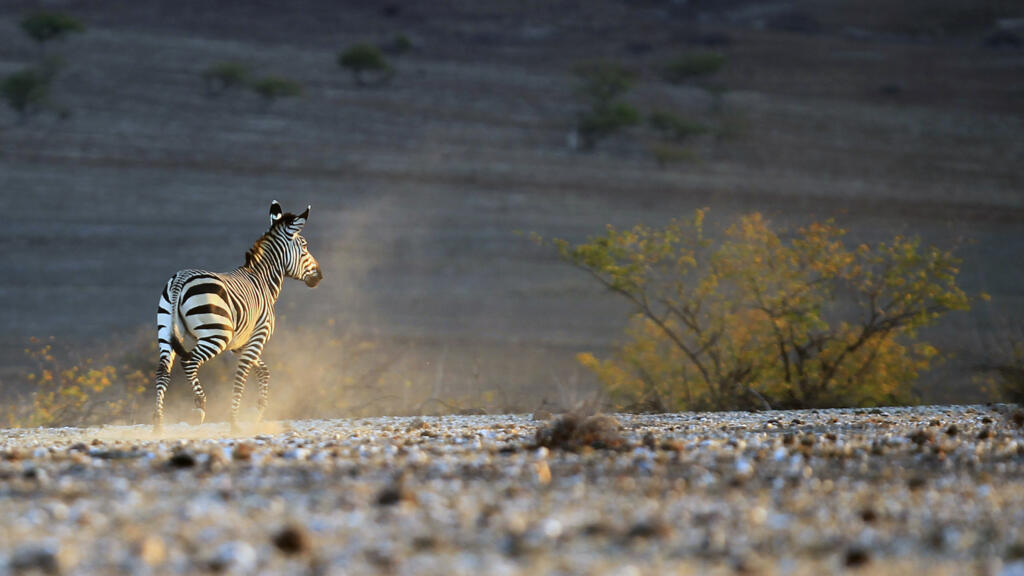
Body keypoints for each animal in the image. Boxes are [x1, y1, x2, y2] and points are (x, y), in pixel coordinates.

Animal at [153, 200, 321, 430]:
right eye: (304, 247)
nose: (319, 276)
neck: (262, 279)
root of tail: (180, 279)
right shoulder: (257, 337)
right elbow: (241, 377)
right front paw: (234, 422)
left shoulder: (239, 344)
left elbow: (263, 372)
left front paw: (258, 411)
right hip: (216, 335)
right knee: (189, 362)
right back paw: (199, 407)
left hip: (166, 331)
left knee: (162, 371)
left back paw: (158, 426)